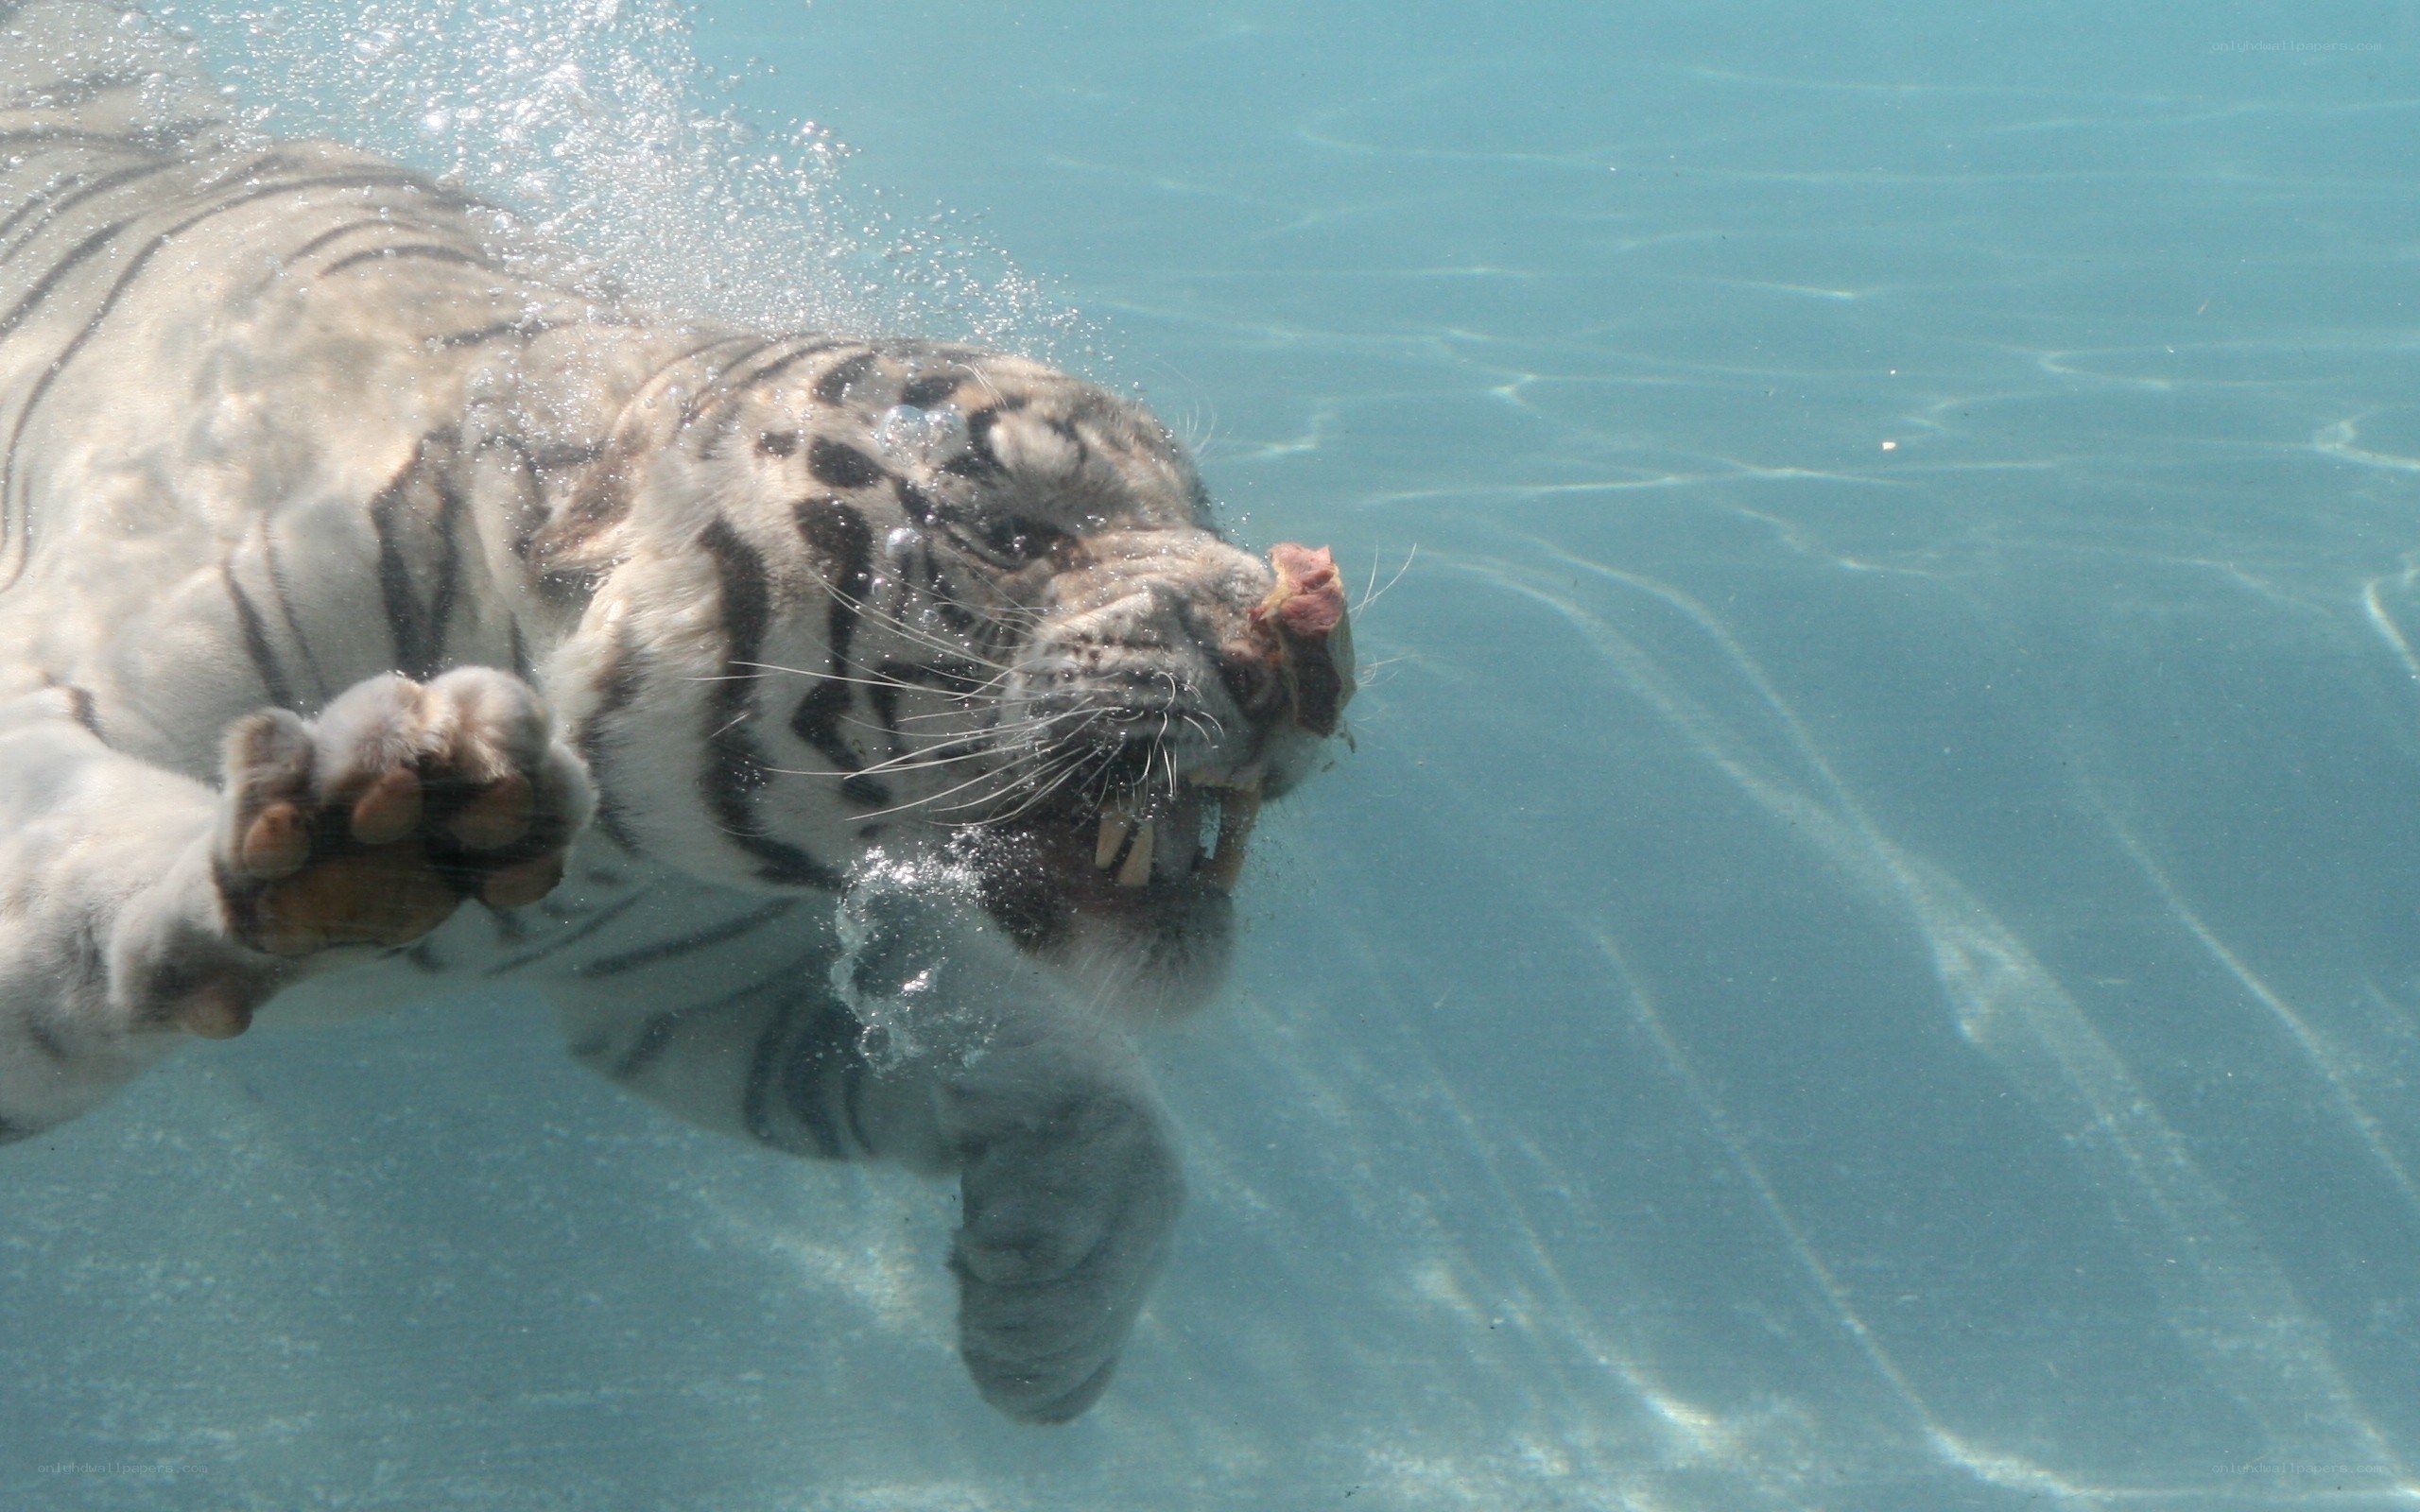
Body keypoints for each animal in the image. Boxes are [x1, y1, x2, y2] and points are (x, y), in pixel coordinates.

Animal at [0, 0, 1353, 1424]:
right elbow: (98, 867)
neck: (601, 832)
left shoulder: (706, 976)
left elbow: (1074, 1078)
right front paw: (356, 824)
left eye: (1201, 512)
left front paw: (1054, 1312)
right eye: (1012, 532)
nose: (1301, 651)